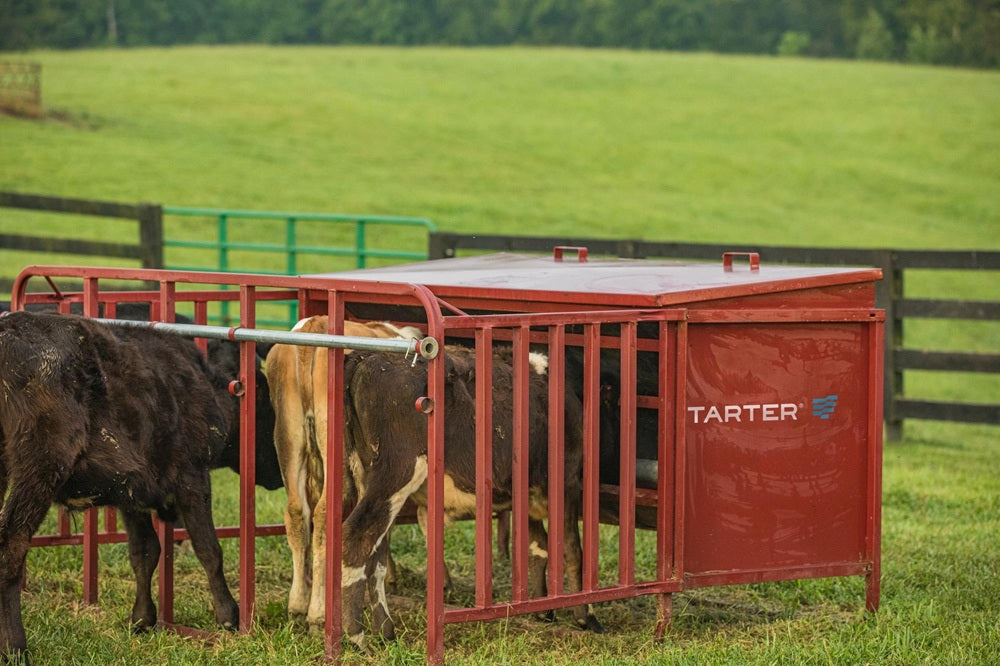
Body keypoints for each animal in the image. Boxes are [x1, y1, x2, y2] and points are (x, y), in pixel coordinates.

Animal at [0, 311, 275, 661]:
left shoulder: (132, 491)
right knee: (11, 546)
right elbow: (208, 549)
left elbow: (144, 552)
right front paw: (228, 615)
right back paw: (15, 646)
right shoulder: (193, 477)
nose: (279, 472)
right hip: (37, 471)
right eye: (266, 400)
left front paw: (142, 618)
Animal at [264, 316, 422, 627]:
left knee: (297, 514)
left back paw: (298, 604)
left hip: (287, 436)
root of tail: (315, 325)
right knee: (325, 515)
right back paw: (318, 612)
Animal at [338, 344, 603, 649]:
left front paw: (543, 609)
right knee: (357, 536)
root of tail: (367, 357)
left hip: (368, 476)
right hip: (395, 472)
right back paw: (357, 635)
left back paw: (386, 630)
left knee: (377, 553)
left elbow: (539, 547)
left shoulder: (530, 492)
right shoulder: (568, 481)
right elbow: (572, 549)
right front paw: (586, 616)